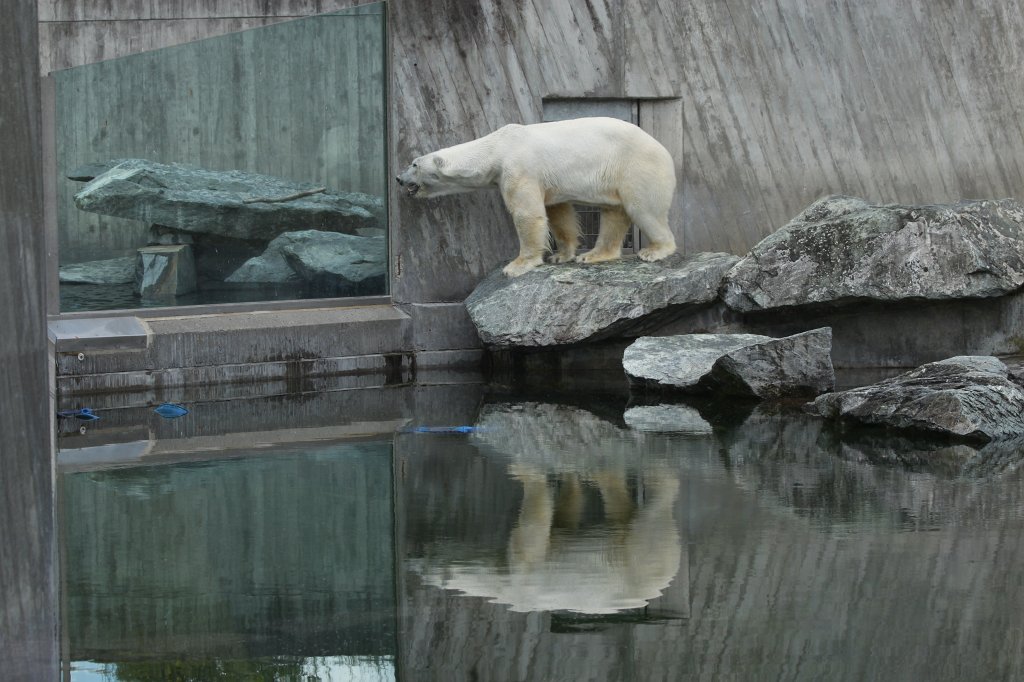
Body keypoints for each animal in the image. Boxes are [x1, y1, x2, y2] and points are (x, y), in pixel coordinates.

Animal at [397, 117, 678, 277]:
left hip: (636, 166)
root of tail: (664, 149)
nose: (399, 178)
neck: (497, 147)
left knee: (643, 208)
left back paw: (655, 251)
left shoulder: (518, 168)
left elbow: (527, 214)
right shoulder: (547, 181)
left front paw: (518, 265)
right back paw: (593, 255)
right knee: (614, 213)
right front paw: (561, 255)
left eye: (414, 164)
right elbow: (558, 211)